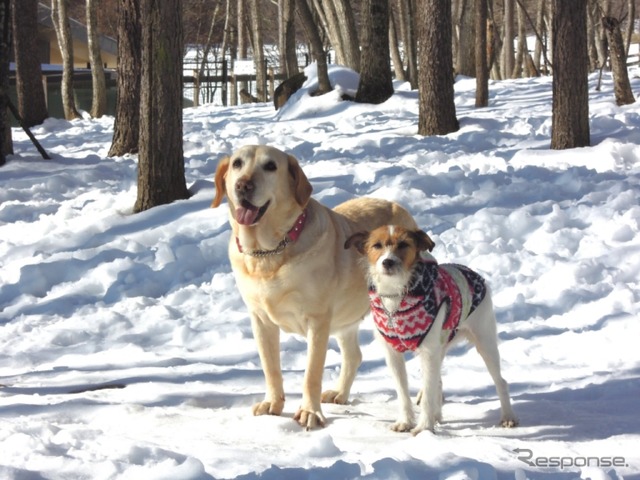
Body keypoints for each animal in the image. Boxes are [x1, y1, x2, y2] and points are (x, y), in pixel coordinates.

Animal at [342, 225, 516, 436]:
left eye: (403, 244)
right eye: (377, 245)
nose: (388, 262)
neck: (396, 297)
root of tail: (473, 273)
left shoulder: (428, 352)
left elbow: (426, 394)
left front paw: (424, 427)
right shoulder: (393, 354)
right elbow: (403, 392)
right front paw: (405, 422)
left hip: (485, 342)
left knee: (501, 382)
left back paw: (508, 417)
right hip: (442, 346)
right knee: (438, 383)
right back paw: (437, 416)